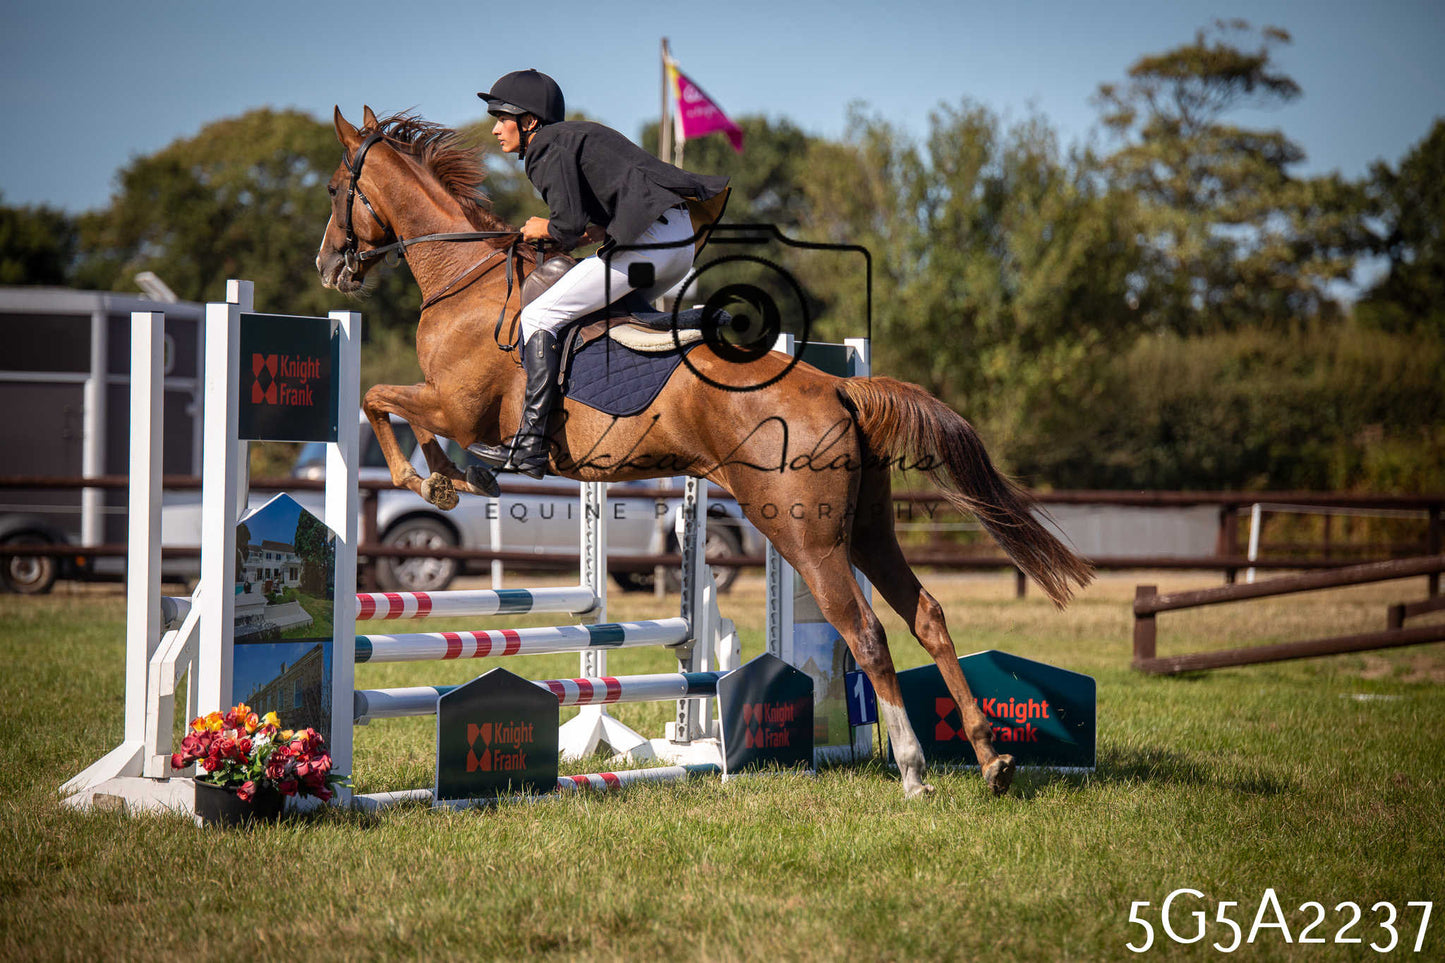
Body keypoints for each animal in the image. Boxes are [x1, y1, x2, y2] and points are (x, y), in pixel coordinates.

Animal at [315, 106, 1094, 798]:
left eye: (331, 190)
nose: (328, 267)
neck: (468, 278)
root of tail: (838, 388)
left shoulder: (454, 404)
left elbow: (380, 400)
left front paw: (437, 479)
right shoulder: (448, 405)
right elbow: (397, 411)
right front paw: (455, 476)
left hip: (804, 534)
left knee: (866, 631)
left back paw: (912, 770)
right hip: (868, 528)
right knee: (925, 614)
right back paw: (990, 759)